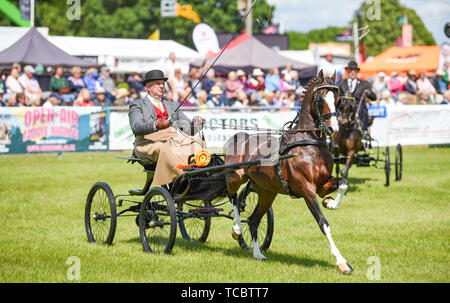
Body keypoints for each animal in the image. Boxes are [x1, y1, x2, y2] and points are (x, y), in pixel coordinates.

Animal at [223, 70, 354, 276]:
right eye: (320, 98)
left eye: (338, 99)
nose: (334, 129)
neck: (309, 144)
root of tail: (239, 137)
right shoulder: (307, 189)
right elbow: (323, 223)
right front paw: (342, 262)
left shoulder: (322, 185)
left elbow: (342, 183)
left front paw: (330, 203)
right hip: (235, 176)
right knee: (234, 197)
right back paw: (236, 229)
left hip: (267, 192)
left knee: (253, 219)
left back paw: (258, 253)